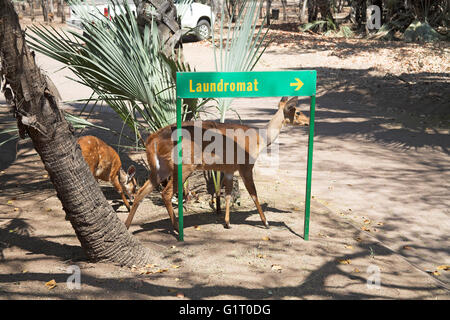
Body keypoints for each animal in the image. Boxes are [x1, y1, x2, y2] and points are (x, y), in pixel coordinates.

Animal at [125, 96, 308, 231]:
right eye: (298, 111)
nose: (308, 121)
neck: (260, 140)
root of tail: (151, 140)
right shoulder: (246, 166)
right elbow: (254, 193)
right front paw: (266, 223)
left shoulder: (229, 169)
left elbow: (227, 194)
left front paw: (227, 222)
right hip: (183, 166)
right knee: (166, 193)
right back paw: (177, 228)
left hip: (160, 167)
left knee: (141, 191)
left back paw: (127, 225)